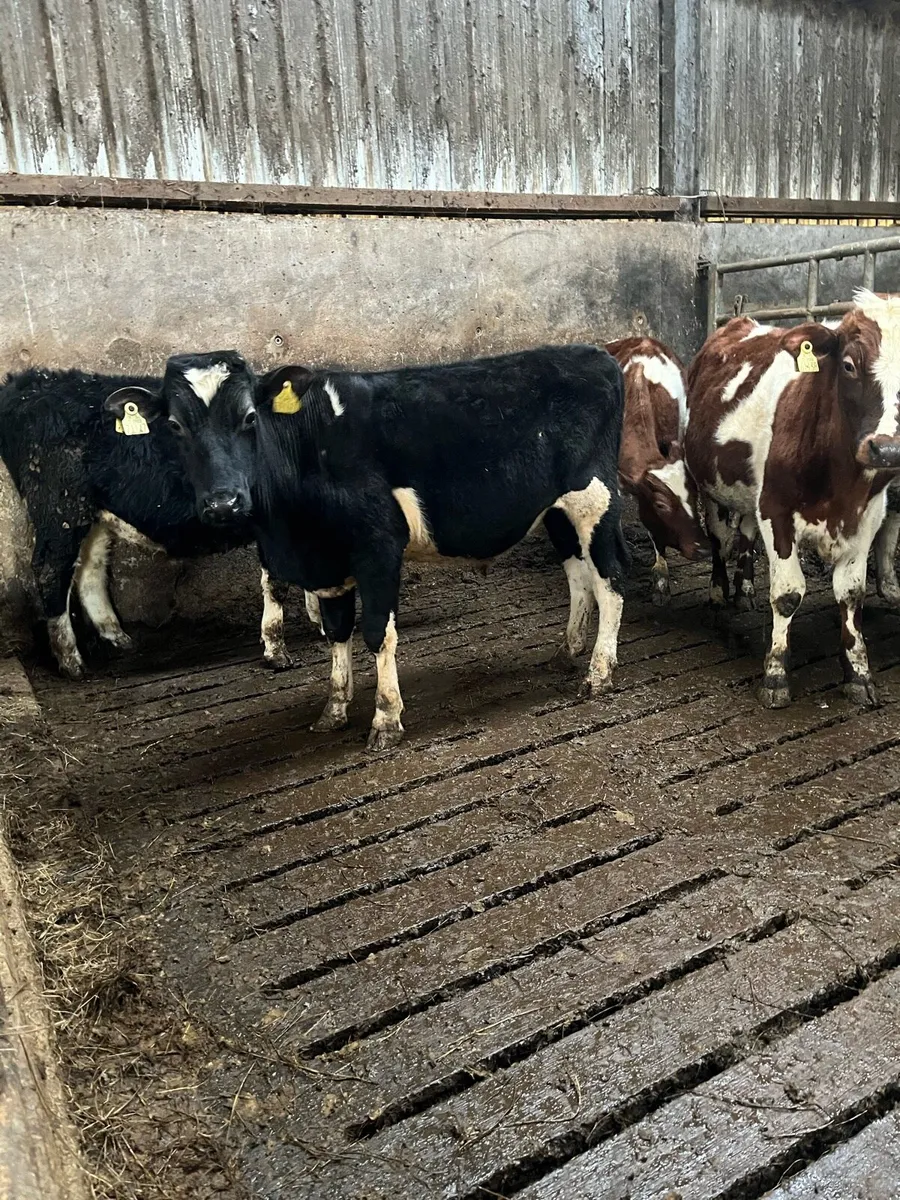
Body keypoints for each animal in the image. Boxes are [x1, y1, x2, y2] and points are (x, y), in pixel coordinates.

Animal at [0, 368, 292, 678]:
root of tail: (27, 382)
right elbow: (278, 584)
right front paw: (276, 652)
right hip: (60, 507)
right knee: (50, 571)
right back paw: (71, 662)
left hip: (91, 512)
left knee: (90, 566)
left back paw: (117, 637)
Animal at [104, 345, 630, 750]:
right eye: (174, 425)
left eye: (250, 417)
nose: (223, 502)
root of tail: (593, 353)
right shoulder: (326, 563)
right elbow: (337, 632)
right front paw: (334, 708)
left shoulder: (379, 549)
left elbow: (378, 633)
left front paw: (385, 719)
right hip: (556, 510)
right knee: (578, 575)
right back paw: (567, 650)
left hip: (594, 499)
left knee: (610, 579)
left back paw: (599, 673)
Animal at [685, 290, 900, 709]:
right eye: (849, 365)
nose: (887, 449)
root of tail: (740, 321)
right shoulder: (776, 509)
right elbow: (787, 594)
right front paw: (775, 675)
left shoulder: (867, 517)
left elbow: (852, 595)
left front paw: (858, 674)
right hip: (711, 485)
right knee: (719, 540)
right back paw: (720, 592)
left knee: (744, 535)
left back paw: (745, 588)